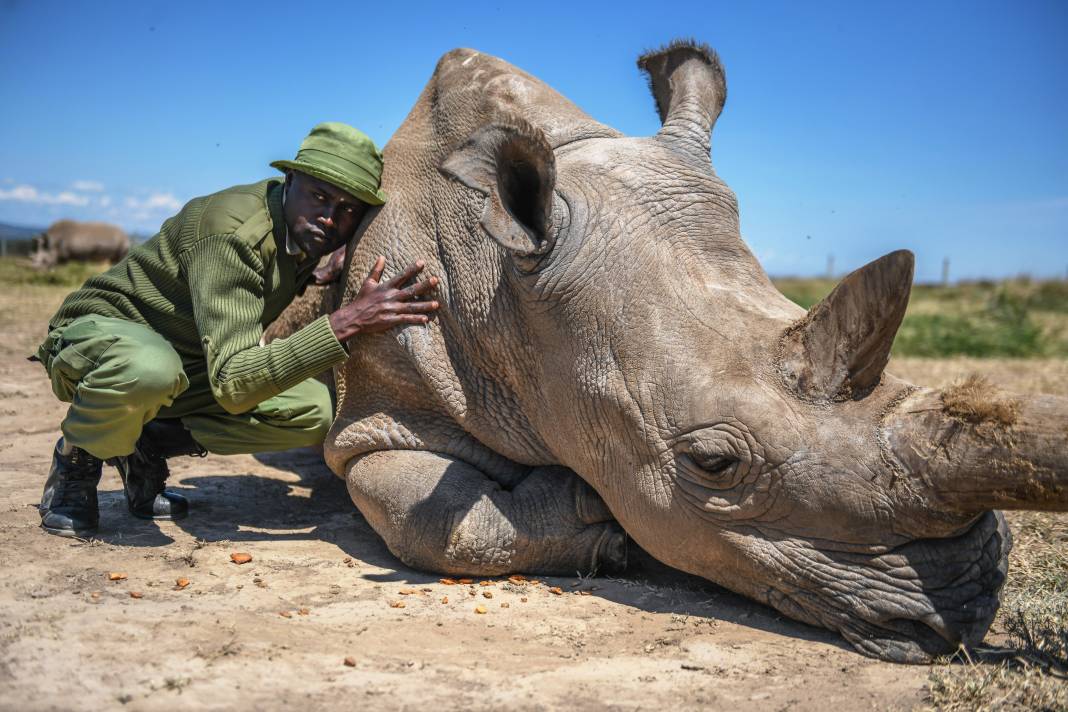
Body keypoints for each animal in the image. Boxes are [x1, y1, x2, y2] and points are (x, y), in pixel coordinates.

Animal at [294, 40, 1068, 661]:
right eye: (713, 464)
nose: (966, 607)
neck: (504, 290)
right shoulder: (380, 408)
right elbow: (432, 523)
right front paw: (594, 514)